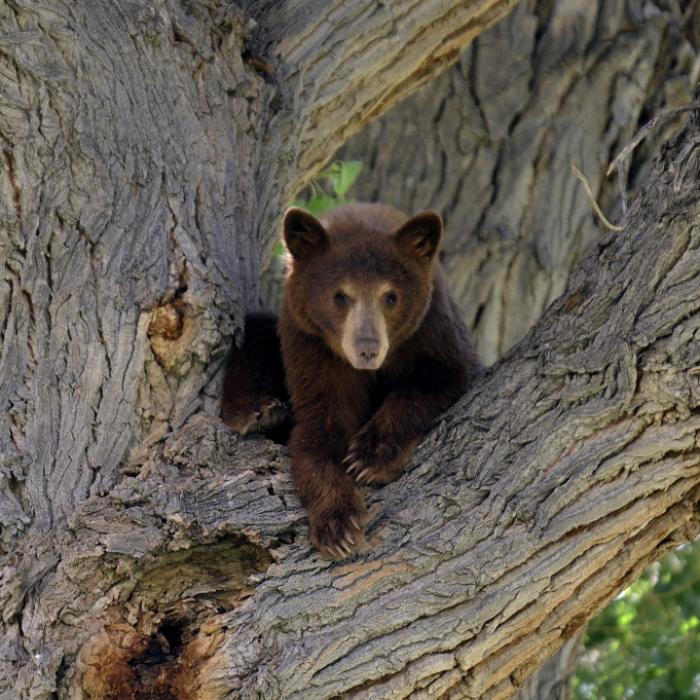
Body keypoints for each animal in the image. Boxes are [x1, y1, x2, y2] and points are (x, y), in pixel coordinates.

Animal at [277, 203, 481, 559]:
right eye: (340, 296)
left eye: (390, 296)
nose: (367, 350)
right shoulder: (310, 349)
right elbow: (316, 430)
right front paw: (338, 525)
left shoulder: (433, 329)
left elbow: (442, 379)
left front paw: (369, 456)